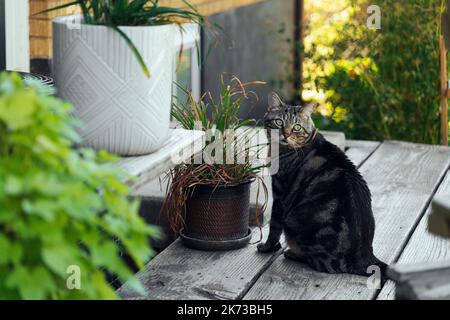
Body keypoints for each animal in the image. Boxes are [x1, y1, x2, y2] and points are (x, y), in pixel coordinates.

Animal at [256, 92, 386, 278]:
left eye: (296, 127)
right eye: (279, 122)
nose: (285, 135)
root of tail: (365, 255)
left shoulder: (279, 195)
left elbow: (273, 227)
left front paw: (267, 247)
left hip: (295, 223)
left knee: (323, 264)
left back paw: (293, 253)